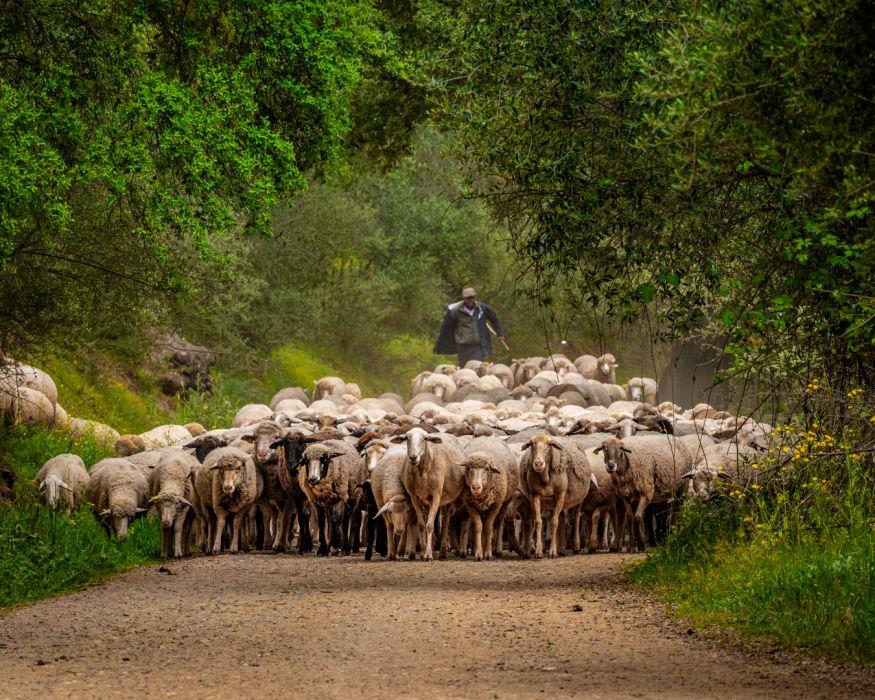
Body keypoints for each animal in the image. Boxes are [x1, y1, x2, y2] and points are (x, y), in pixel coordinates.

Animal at [392, 427, 466, 561]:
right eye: (406, 438)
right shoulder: (415, 498)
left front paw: (428, 554)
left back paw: (442, 551)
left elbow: (430, 525)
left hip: (448, 499)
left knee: (446, 522)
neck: (422, 473)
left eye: (425, 438)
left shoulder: (436, 496)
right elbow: (422, 525)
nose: (413, 457)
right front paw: (422, 552)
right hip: (426, 500)